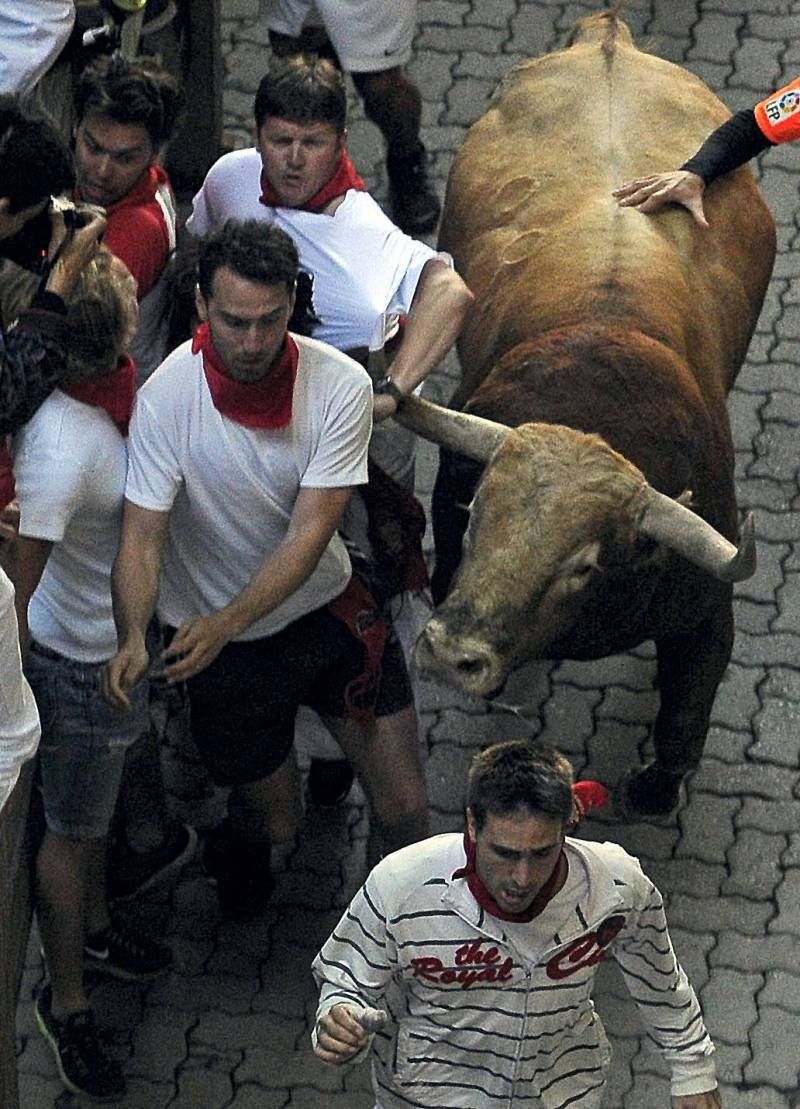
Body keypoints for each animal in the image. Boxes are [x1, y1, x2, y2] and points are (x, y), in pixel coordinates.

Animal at [397, 8, 772, 816]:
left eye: (584, 564)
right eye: (474, 515)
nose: (450, 654)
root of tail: (609, 38)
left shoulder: (709, 610)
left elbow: (686, 715)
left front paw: (657, 787)